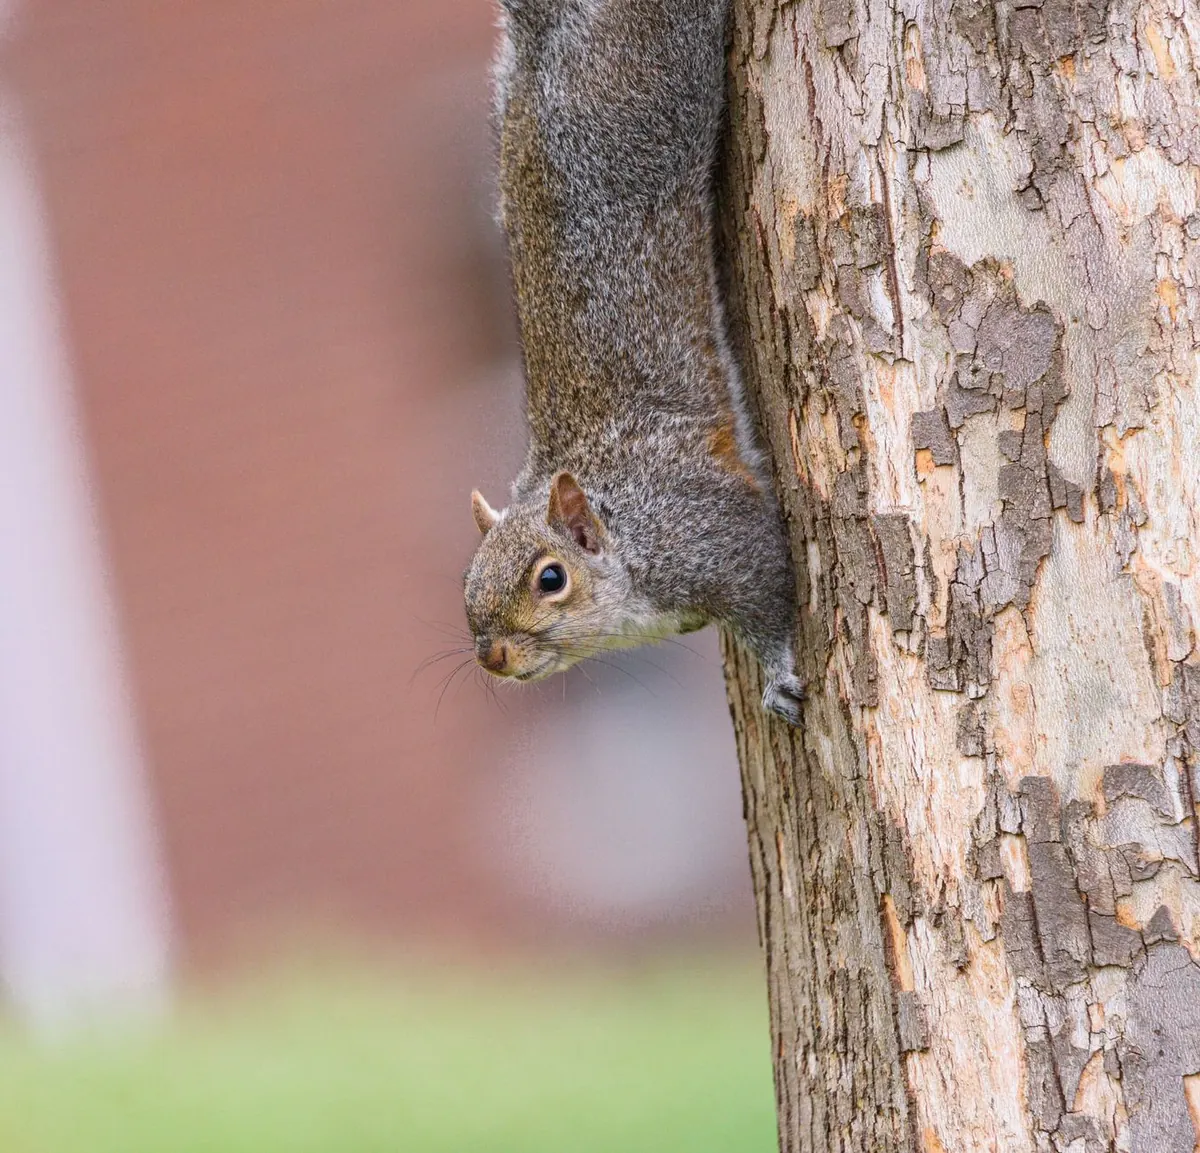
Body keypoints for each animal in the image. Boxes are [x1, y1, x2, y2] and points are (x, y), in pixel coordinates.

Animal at [462, 0, 805, 726]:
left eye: (552, 579)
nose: (491, 657)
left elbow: (769, 597)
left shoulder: (714, 533)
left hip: (658, 68)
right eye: (467, 582)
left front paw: (779, 674)